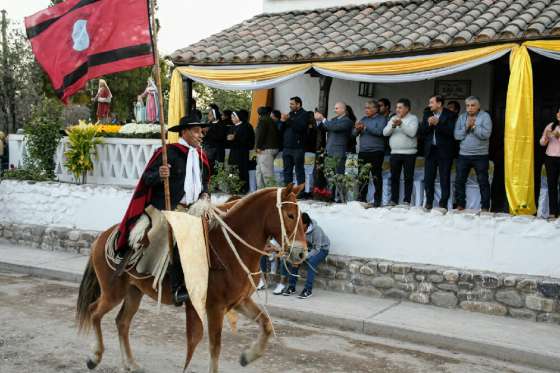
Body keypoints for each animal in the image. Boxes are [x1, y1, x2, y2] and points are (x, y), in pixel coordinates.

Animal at [75, 184, 306, 372]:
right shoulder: (215, 306)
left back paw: (130, 363)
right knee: (94, 312)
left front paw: (248, 356)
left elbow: (266, 324)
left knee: (122, 322)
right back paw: (94, 357)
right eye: (290, 215)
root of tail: (104, 236)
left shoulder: (239, 301)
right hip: (113, 292)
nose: (301, 253)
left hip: (134, 292)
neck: (232, 247)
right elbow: (215, 346)